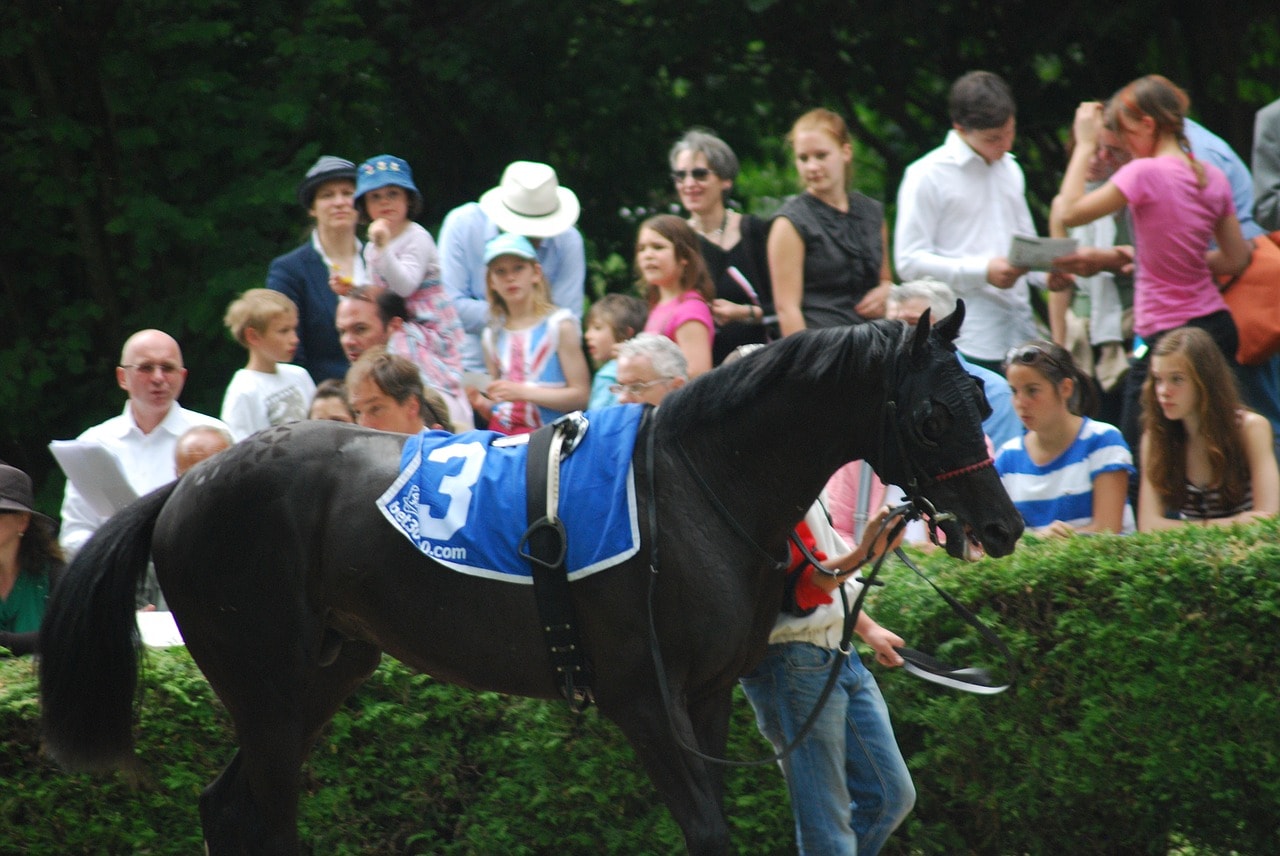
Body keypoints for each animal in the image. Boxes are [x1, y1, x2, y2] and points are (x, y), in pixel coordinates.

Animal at [37, 307, 1018, 854]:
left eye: (981, 399)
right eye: (932, 415)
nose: (1002, 527)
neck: (694, 486)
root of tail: (183, 487)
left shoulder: (705, 699)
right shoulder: (643, 700)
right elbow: (706, 830)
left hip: (320, 676)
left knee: (229, 810)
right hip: (267, 686)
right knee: (267, 822)